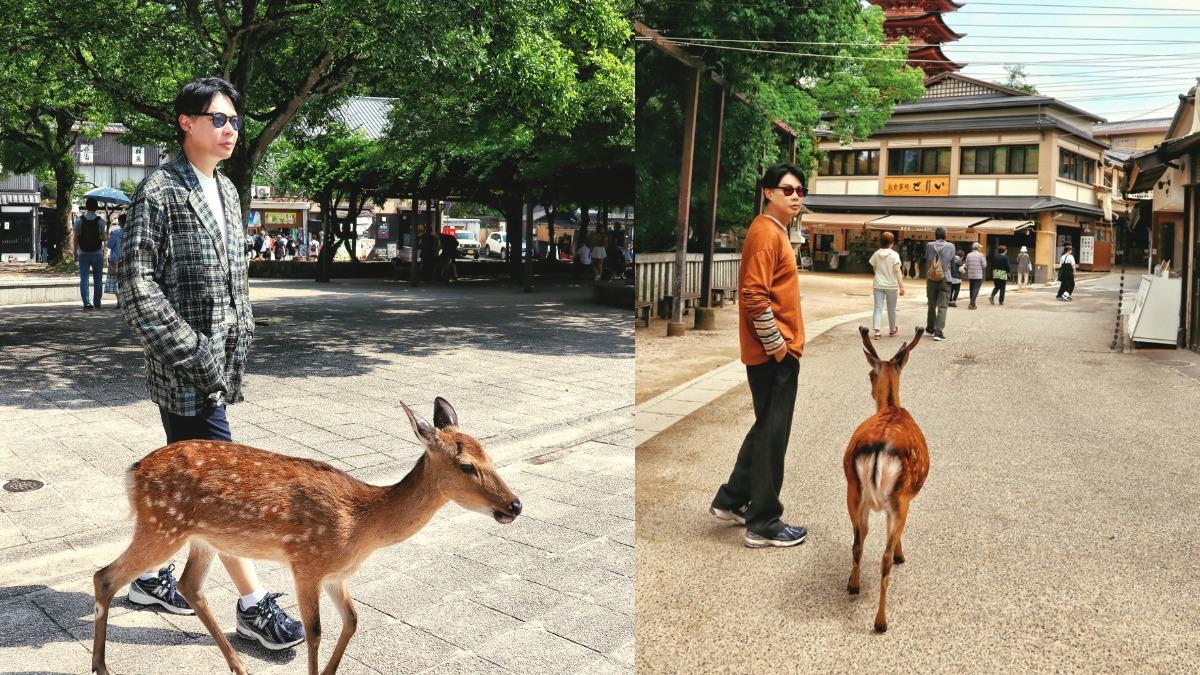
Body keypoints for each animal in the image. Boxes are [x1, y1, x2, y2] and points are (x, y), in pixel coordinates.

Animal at [88, 393, 520, 672]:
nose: (515, 505)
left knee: (189, 585)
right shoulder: (307, 562)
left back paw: (239, 668)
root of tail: (132, 473)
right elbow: (314, 632)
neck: (363, 524)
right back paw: (101, 667)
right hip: (163, 524)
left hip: (201, 537)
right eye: (466, 465)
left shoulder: (336, 575)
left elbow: (353, 621)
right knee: (105, 576)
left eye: (488, 455)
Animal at [844, 326, 926, 629]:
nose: (869, 386)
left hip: (853, 490)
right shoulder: (908, 500)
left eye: (870, 374)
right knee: (885, 558)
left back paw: (853, 585)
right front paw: (903, 554)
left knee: (858, 542)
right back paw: (880, 621)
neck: (891, 405)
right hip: (898, 498)